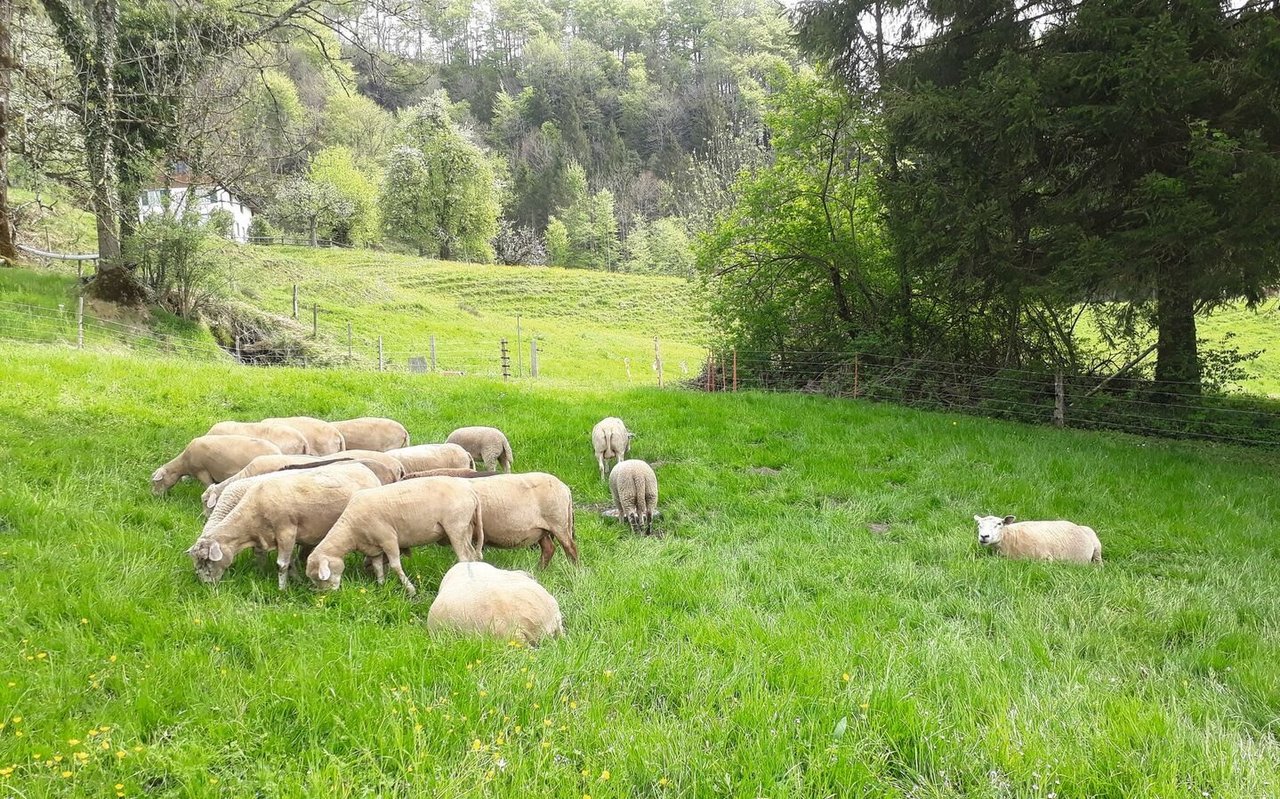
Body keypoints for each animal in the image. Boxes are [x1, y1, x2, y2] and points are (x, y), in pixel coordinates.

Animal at [151, 432, 281, 496]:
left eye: (157, 481)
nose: (154, 495)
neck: (184, 463)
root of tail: (278, 453)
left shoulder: (202, 471)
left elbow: (208, 485)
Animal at [186, 460, 378, 586]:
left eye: (206, 560)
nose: (206, 585)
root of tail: (365, 470)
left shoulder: (287, 532)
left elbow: (281, 564)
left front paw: (282, 588)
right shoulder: (270, 537)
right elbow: (280, 559)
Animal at [304, 473, 483, 594]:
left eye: (320, 577)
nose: (328, 595)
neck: (351, 530)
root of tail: (471, 492)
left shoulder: (388, 539)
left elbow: (396, 565)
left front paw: (410, 589)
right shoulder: (374, 547)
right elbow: (378, 567)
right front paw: (381, 586)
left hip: (456, 526)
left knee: (464, 556)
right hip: (466, 528)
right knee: (471, 554)